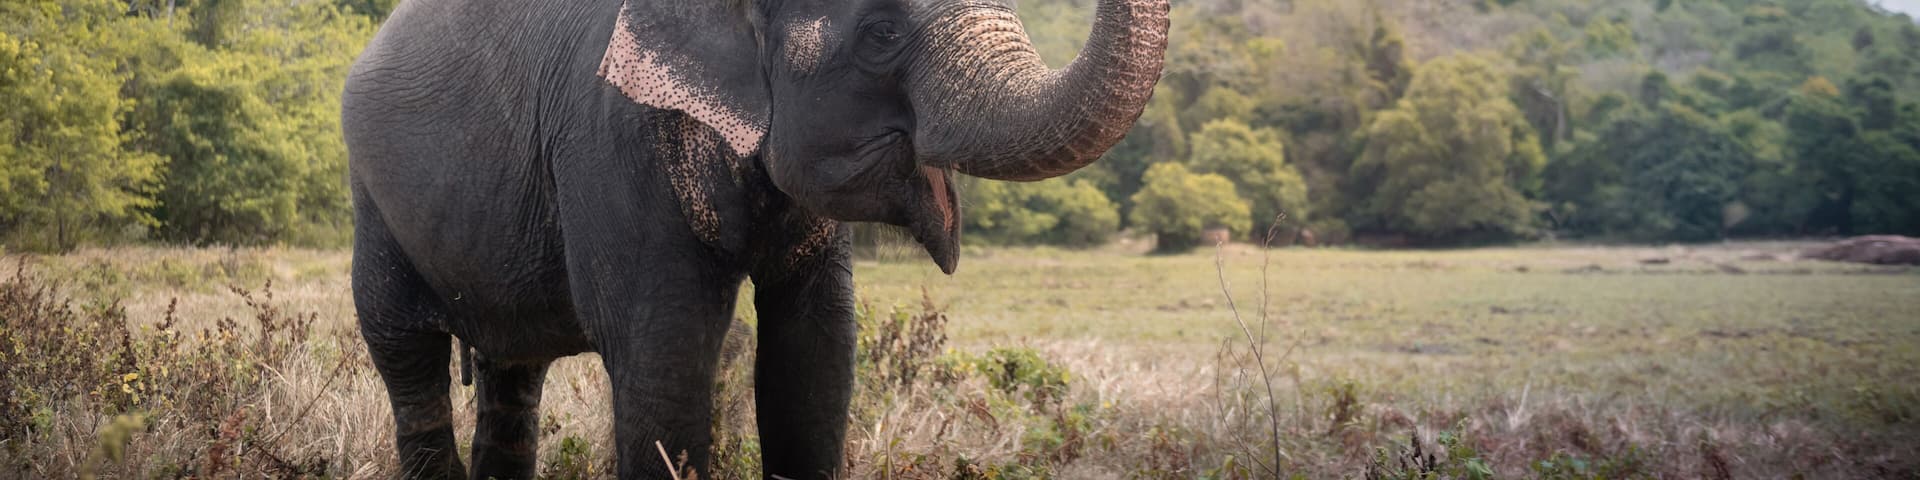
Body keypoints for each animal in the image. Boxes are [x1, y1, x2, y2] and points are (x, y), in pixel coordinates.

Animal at [339, 0, 1167, 477]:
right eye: (882, 33)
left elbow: (816, 356)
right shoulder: (608, 139)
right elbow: (664, 358)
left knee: (512, 376)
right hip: (372, 202)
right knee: (407, 359)